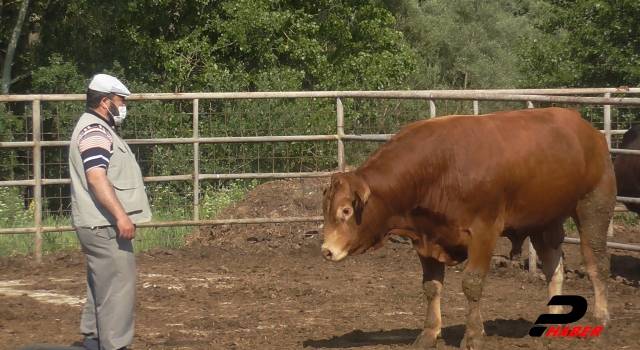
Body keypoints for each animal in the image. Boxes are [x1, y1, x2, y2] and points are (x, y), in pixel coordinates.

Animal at [320, 107, 616, 350]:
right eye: (326, 208)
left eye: (346, 210)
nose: (326, 250)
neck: (438, 167)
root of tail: (588, 130)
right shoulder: (426, 239)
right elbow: (431, 287)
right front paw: (429, 334)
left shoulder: (484, 232)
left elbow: (472, 284)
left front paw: (473, 335)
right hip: (544, 220)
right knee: (554, 266)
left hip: (594, 205)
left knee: (597, 264)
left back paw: (601, 322)